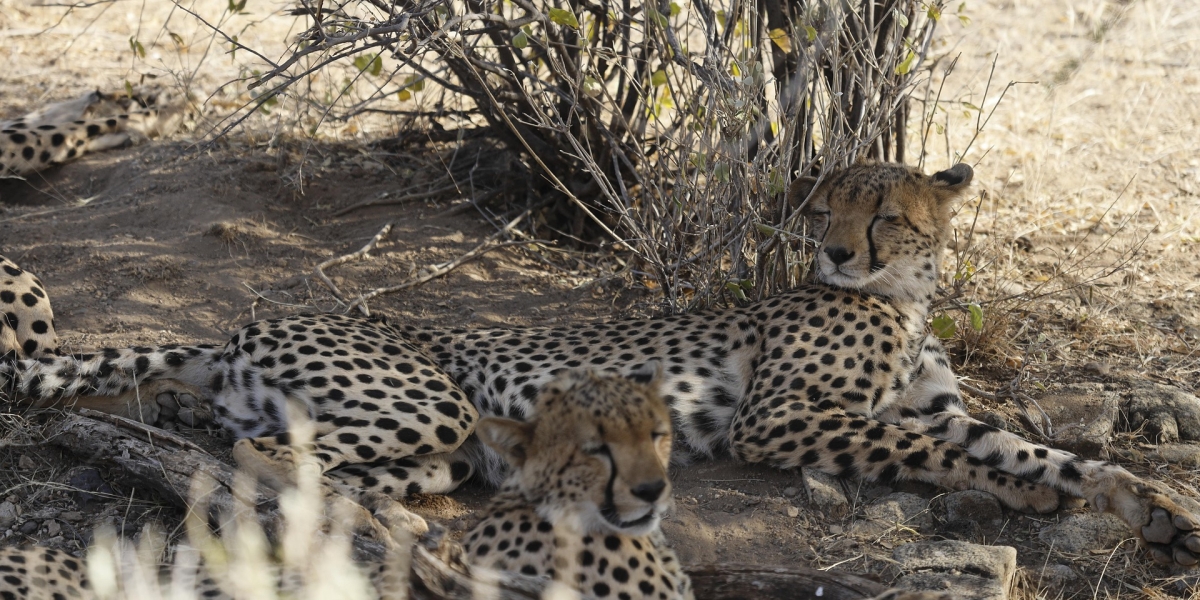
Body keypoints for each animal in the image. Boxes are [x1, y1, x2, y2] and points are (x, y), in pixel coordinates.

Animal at [3, 160, 1199, 570]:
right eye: (826, 208)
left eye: (888, 216)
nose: (838, 254)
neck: (902, 296)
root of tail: (243, 327)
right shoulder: (782, 420)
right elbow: (929, 447)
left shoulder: (943, 407)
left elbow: (1021, 448)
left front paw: (1144, 505)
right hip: (430, 403)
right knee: (251, 460)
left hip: (426, 437)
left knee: (292, 455)